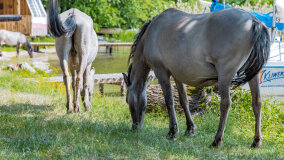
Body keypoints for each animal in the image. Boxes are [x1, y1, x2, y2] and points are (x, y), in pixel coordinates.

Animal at [123, 7, 270, 148]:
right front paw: (190, 129)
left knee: (225, 104)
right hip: (253, 76)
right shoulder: (177, 76)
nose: (135, 127)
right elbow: (184, 101)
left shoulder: (162, 73)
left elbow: (169, 101)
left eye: (127, 100)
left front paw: (172, 132)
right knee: (257, 103)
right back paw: (256, 142)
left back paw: (217, 140)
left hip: (225, 75)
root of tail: (253, 21)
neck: (151, 33)